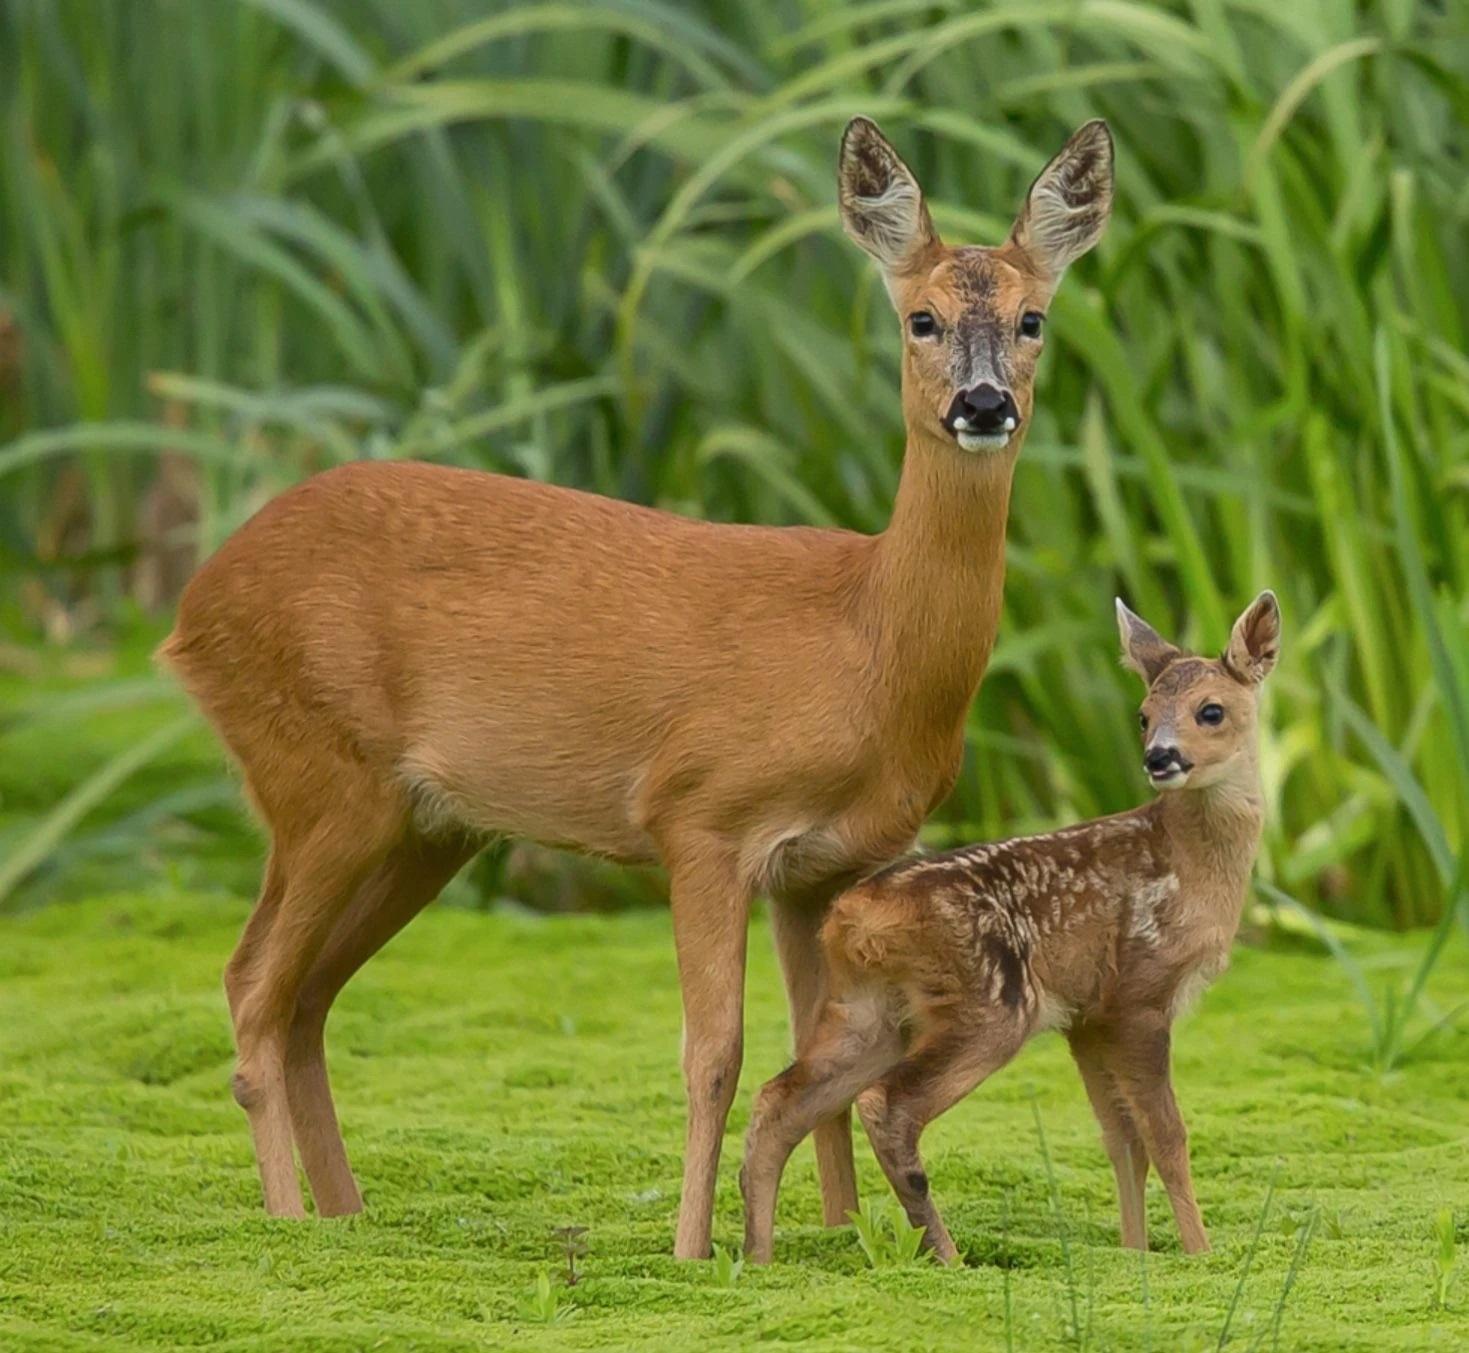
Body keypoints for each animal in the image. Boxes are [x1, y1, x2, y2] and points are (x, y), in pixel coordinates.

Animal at [160, 116, 1110, 1257]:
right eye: (919, 318)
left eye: (1032, 319)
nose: (982, 404)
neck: (865, 644)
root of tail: (190, 609)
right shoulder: (698, 815)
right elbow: (715, 1053)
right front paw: (697, 1251)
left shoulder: (827, 864)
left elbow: (820, 1053)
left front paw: (836, 1240)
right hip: (317, 773)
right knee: (252, 983)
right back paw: (289, 1224)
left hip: (424, 825)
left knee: (305, 997)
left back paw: (348, 1218)